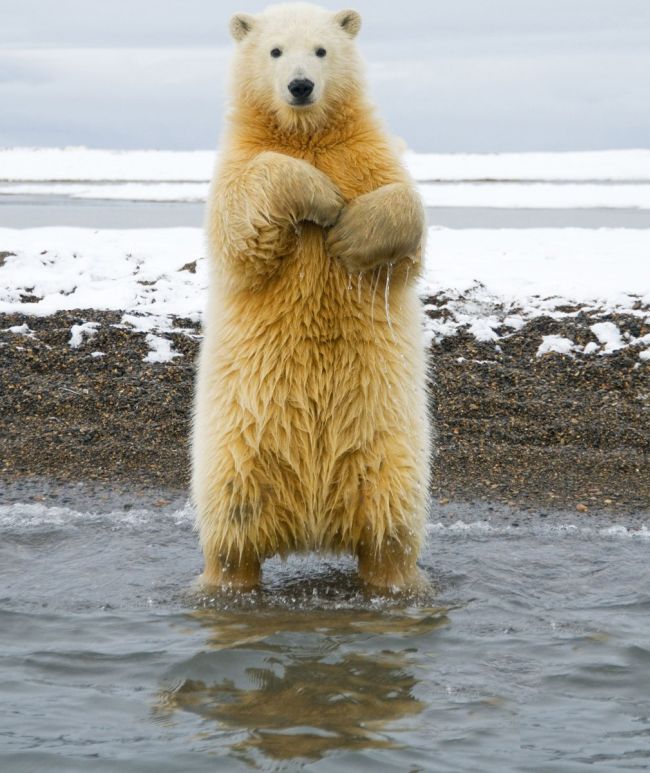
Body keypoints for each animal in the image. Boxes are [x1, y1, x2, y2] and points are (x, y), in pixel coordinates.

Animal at [190, 1, 428, 592]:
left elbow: (405, 207)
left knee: (391, 526)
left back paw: (395, 580)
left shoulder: (365, 152)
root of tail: (314, 527)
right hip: (236, 451)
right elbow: (239, 222)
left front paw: (349, 234)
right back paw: (225, 579)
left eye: (322, 49)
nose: (301, 86)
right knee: (232, 529)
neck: (305, 135)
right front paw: (321, 198)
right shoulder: (239, 160)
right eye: (275, 50)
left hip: (386, 450)